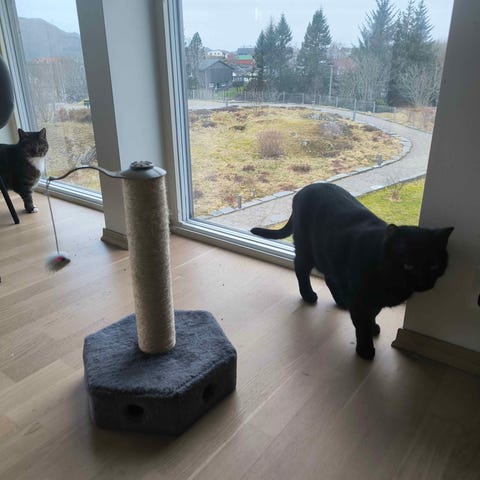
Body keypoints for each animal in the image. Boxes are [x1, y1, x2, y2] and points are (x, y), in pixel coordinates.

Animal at [251, 183, 454, 360]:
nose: (424, 282)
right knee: (300, 268)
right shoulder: (360, 299)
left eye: (434, 266)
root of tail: (304, 188)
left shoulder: (371, 300)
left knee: (330, 277)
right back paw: (308, 295)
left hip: (328, 254)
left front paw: (373, 328)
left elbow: (372, 315)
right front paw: (365, 349)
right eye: (408, 265)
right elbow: (361, 324)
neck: (390, 281)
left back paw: (341, 301)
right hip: (307, 249)